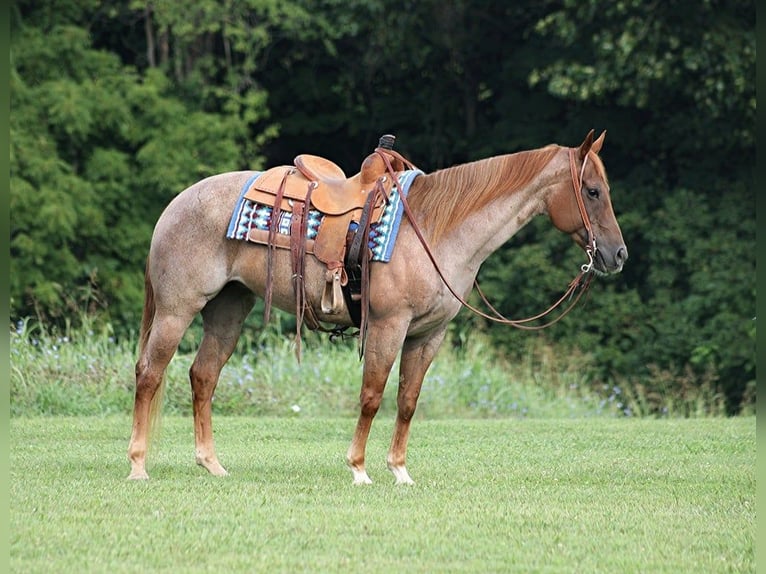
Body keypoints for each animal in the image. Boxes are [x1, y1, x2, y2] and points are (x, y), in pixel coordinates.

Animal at [127, 130, 627, 484]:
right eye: (592, 191)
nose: (618, 255)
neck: (434, 229)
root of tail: (175, 204)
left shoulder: (428, 335)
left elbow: (407, 401)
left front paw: (400, 471)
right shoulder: (389, 326)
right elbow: (371, 396)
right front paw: (359, 469)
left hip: (229, 309)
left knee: (203, 376)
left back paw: (211, 464)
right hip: (176, 310)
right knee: (149, 374)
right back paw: (137, 465)